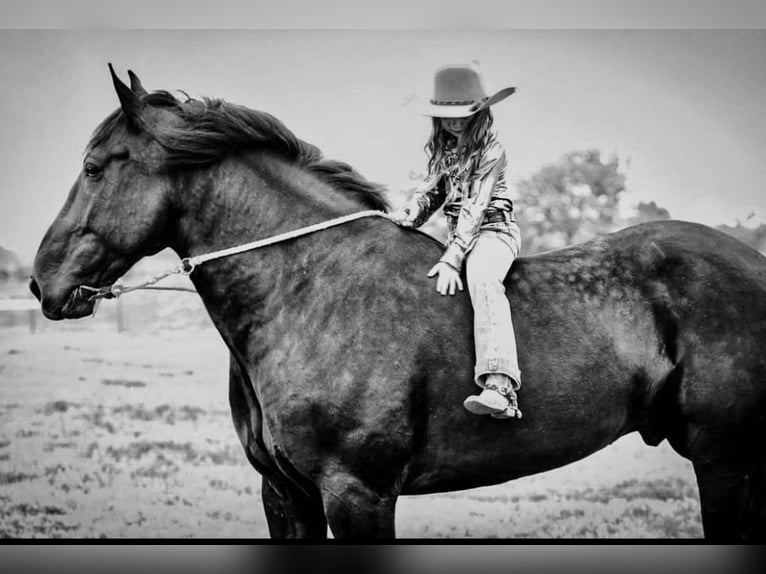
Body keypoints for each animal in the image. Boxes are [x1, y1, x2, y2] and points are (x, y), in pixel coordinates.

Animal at [30, 67, 766, 540]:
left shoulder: (357, 493)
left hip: (723, 460)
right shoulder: (286, 495)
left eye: (94, 167)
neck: (310, 293)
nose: (42, 283)